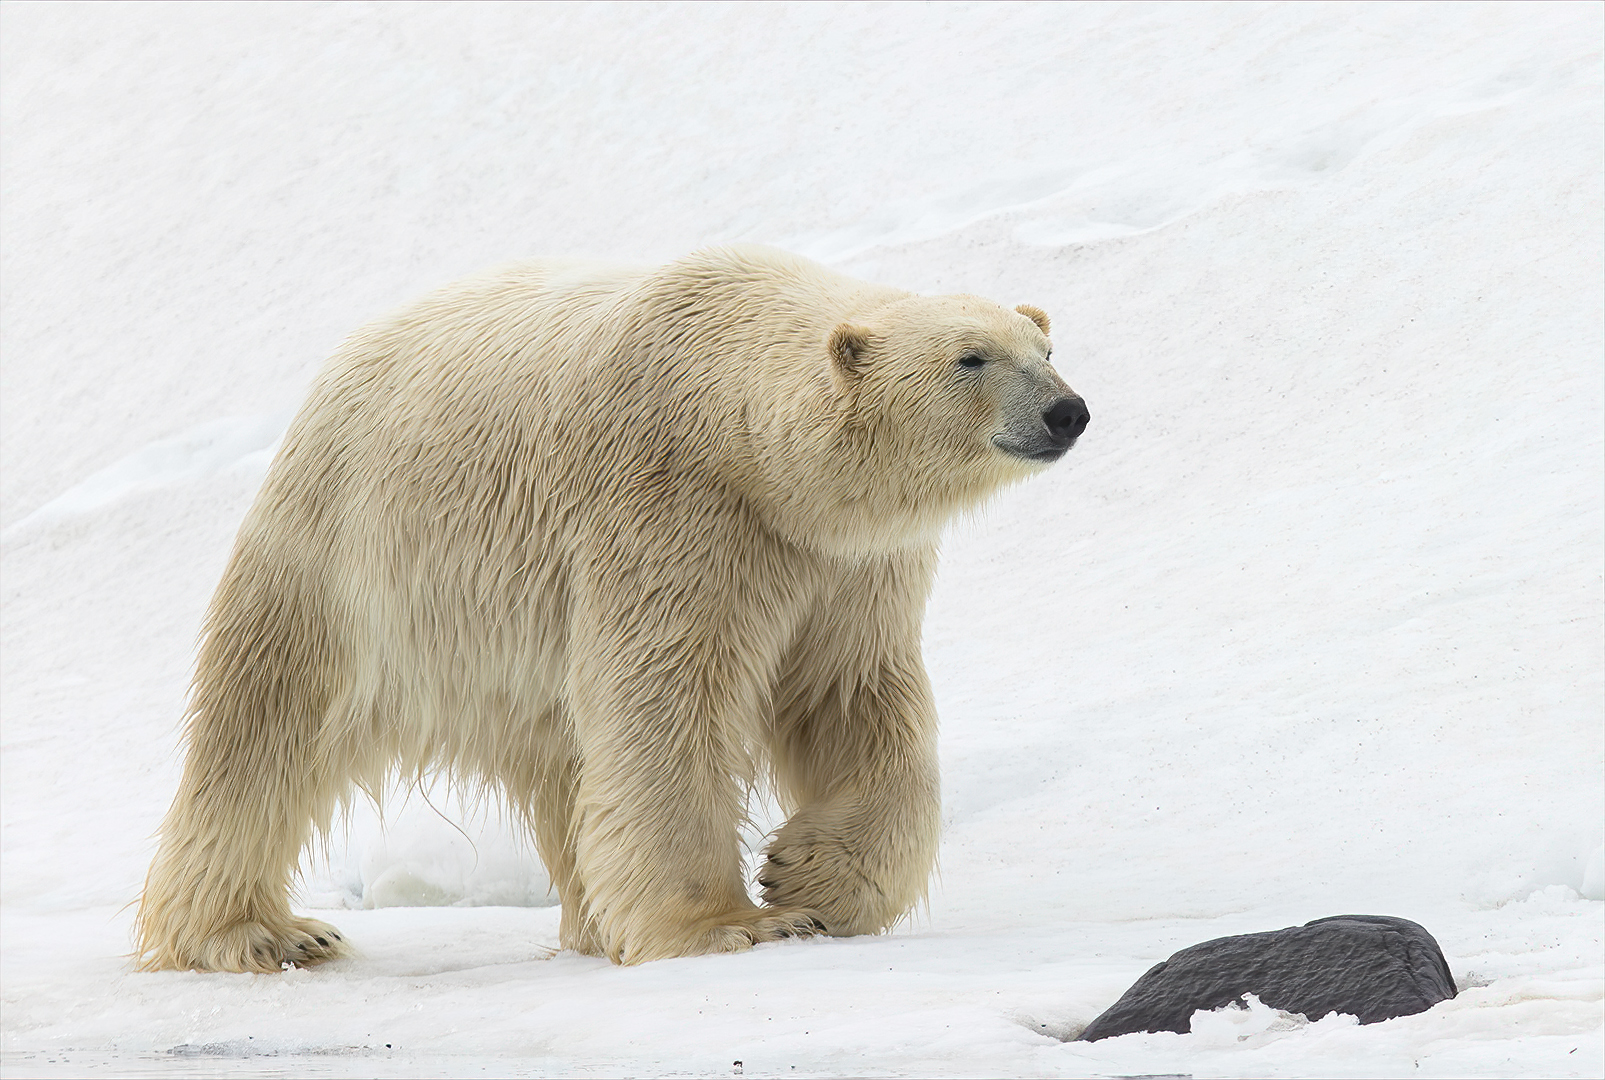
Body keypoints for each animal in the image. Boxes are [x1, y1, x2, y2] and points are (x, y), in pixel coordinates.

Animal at [135, 245, 1088, 971]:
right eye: (969, 357)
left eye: (1043, 348)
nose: (1065, 411)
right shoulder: (672, 511)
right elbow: (667, 700)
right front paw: (730, 924)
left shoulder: (841, 564)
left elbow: (852, 700)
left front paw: (812, 879)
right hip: (350, 562)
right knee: (267, 731)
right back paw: (261, 934)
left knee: (565, 765)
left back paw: (591, 922)